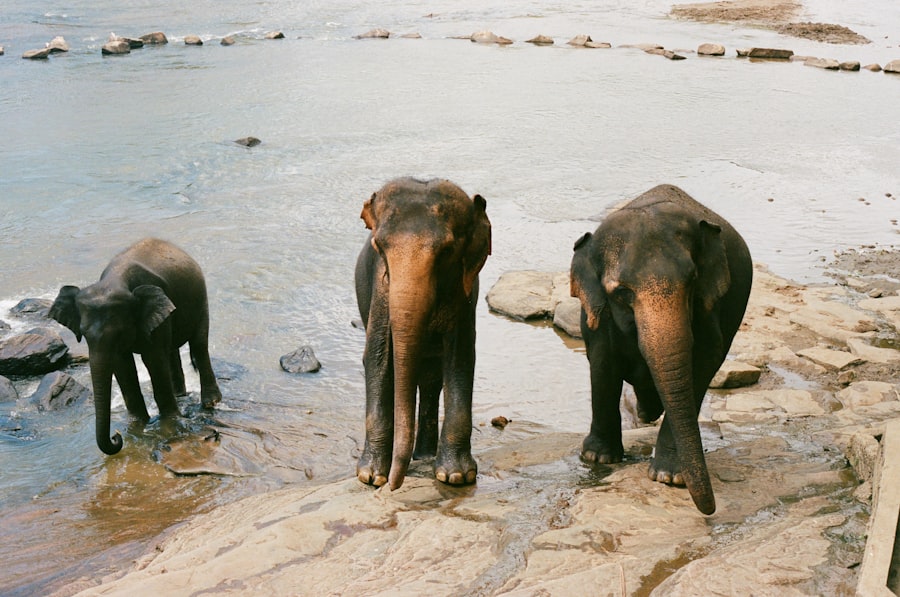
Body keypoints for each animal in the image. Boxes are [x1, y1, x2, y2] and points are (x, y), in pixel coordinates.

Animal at [49, 238, 222, 455]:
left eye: (119, 333)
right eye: (83, 333)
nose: (116, 436)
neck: (115, 281)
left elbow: (153, 359)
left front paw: (169, 424)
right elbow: (122, 364)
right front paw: (138, 424)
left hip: (200, 298)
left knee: (198, 344)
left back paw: (210, 402)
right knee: (171, 351)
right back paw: (181, 395)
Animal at [354, 177, 491, 490]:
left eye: (447, 251)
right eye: (379, 246)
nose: (394, 485)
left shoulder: (463, 295)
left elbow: (461, 358)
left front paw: (456, 476)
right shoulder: (381, 291)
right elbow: (378, 357)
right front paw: (371, 477)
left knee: (431, 380)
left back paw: (426, 456)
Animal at [569, 184, 752, 514]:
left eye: (692, 280)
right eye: (622, 292)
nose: (711, 510)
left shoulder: (709, 308)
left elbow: (705, 360)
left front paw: (668, 476)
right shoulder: (598, 312)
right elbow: (603, 359)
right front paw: (598, 458)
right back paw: (644, 412)